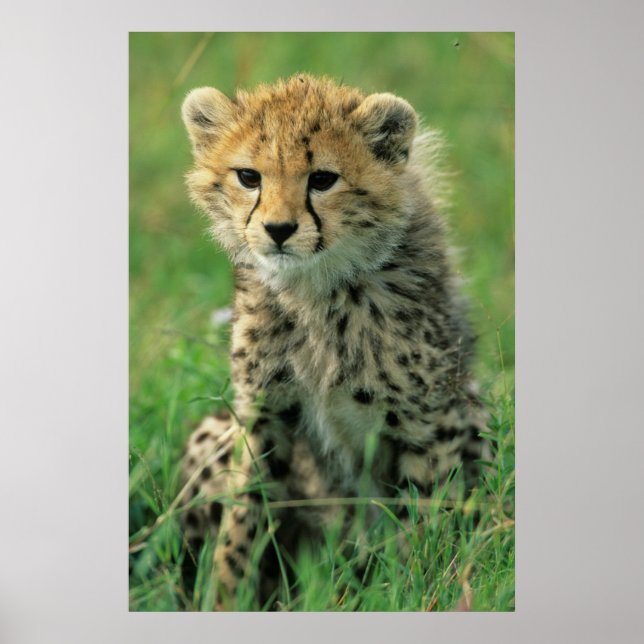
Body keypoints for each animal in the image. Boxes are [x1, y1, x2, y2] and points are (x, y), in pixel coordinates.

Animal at [179, 74, 489, 610]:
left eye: (322, 179)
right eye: (249, 177)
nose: (278, 230)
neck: (317, 288)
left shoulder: (429, 419)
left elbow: (426, 517)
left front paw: (422, 591)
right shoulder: (264, 410)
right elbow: (243, 519)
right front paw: (226, 598)